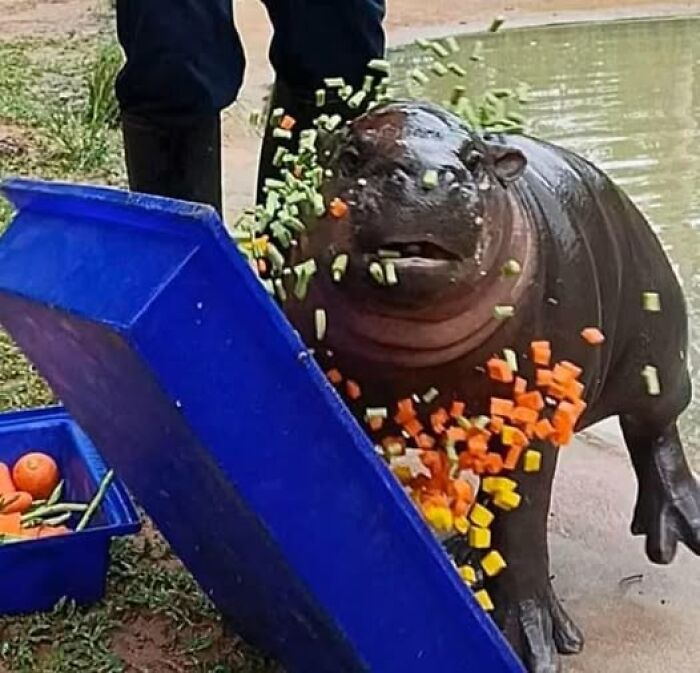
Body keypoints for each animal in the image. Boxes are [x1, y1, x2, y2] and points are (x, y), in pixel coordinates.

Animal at [281, 101, 700, 672]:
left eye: (475, 159)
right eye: (350, 154)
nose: (424, 177)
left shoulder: (532, 421)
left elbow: (522, 522)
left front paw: (537, 649)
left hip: (659, 346)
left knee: (656, 429)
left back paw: (673, 532)